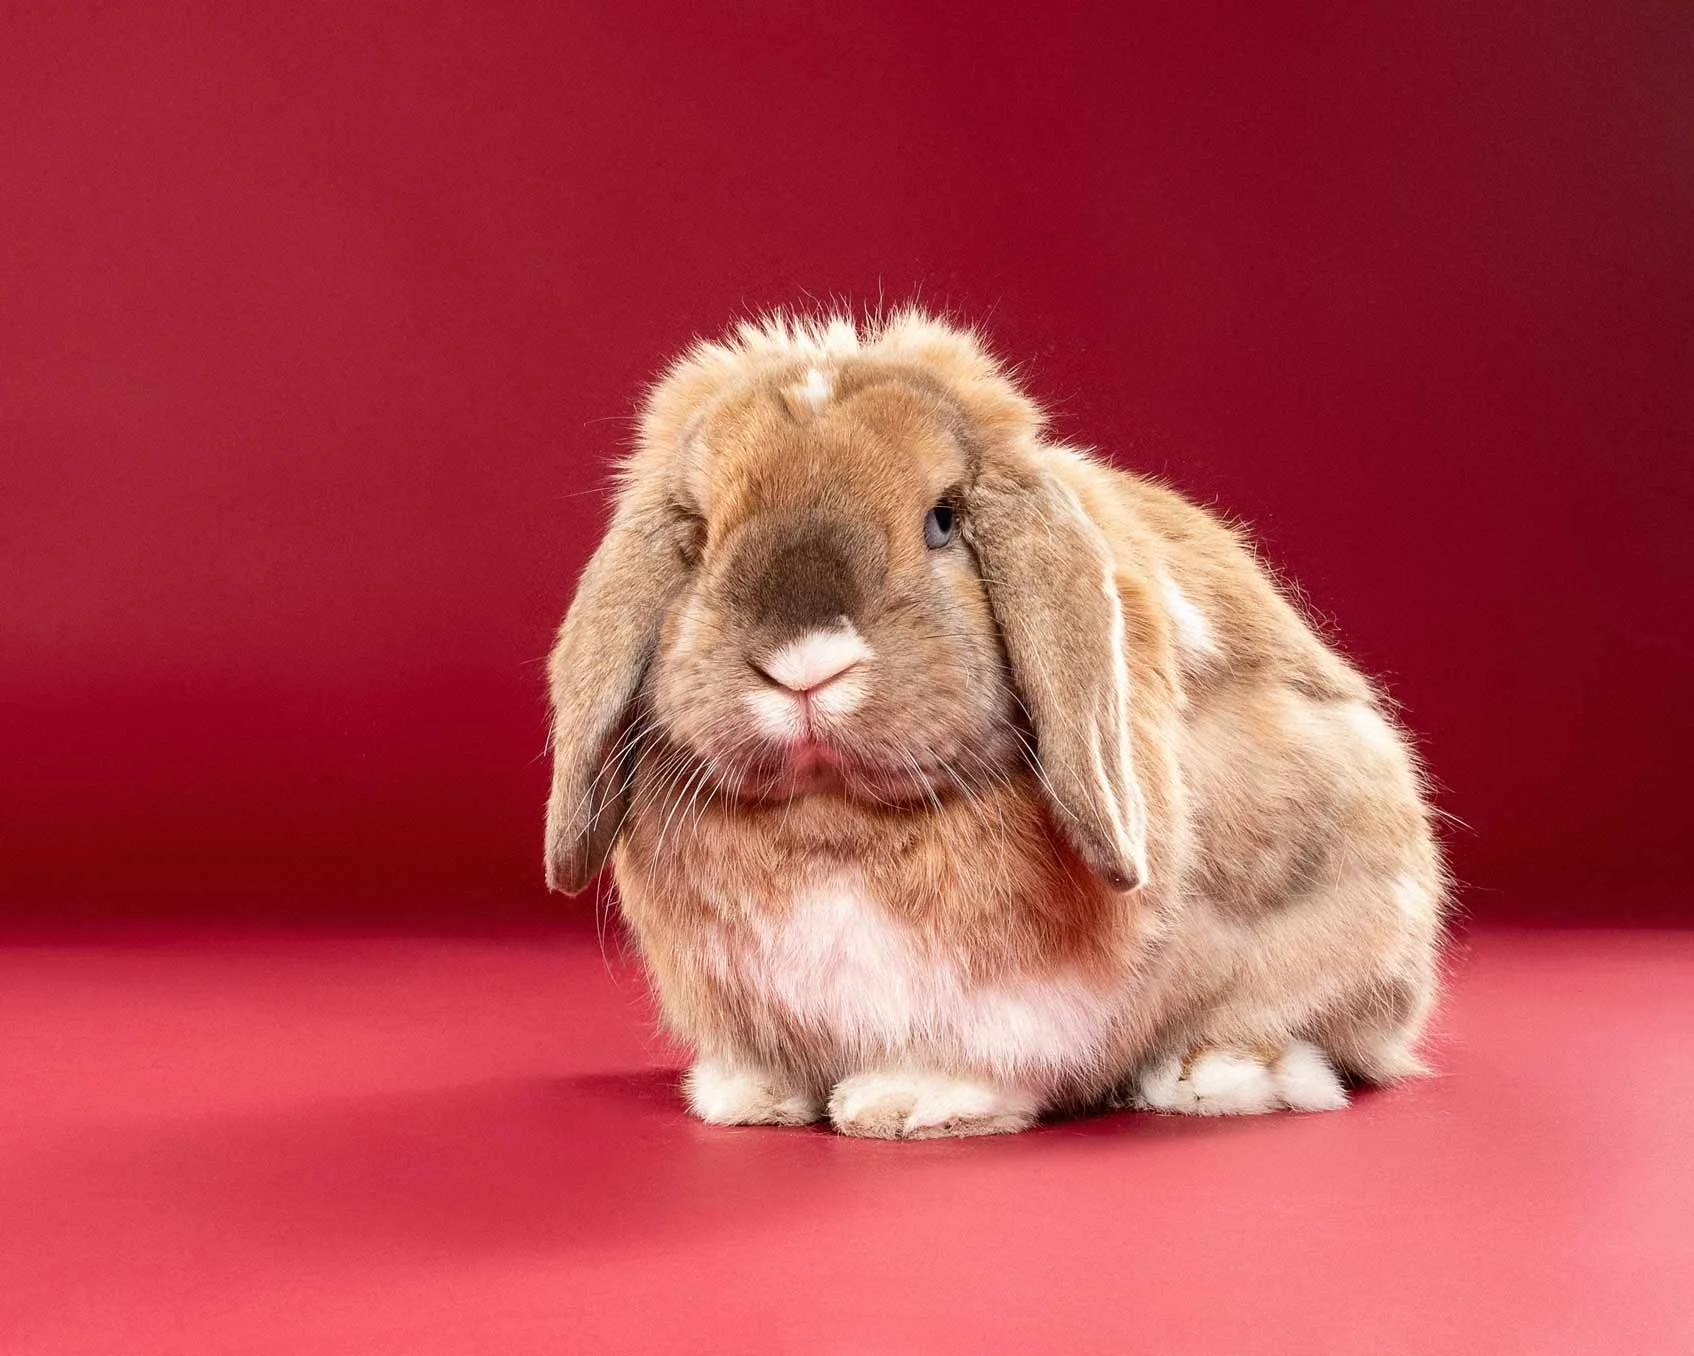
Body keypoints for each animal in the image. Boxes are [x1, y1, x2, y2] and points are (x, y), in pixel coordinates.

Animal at [544, 309, 1446, 1139]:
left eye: (943, 519)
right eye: (699, 535)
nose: (803, 662)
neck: (833, 822)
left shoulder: (1009, 995)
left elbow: (978, 1051)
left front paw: (905, 1103)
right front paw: (749, 1098)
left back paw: (1214, 1079)